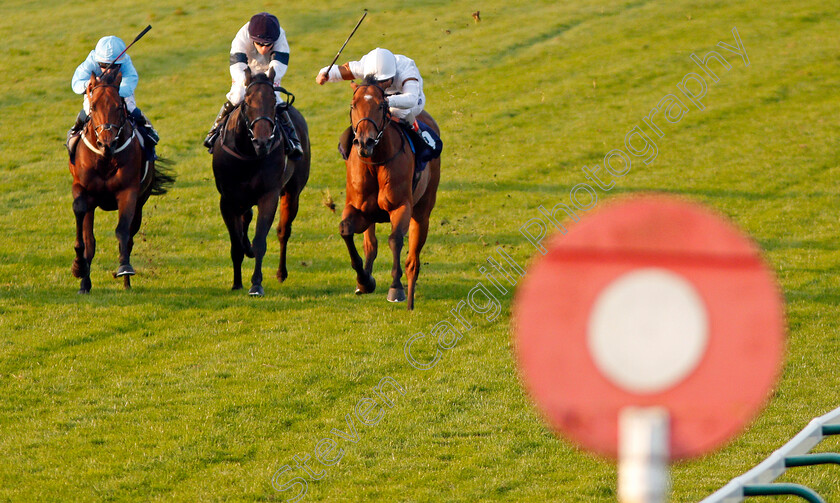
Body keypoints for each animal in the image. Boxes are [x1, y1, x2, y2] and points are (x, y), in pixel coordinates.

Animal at [69, 69, 174, 294]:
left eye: (118, 106)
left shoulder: (128, 192)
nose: (106, 143)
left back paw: (126, 282)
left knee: (131, 235)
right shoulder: (82, 189)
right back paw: (85, 282)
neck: (106, 158)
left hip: (141, 202)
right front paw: (79, 269)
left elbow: (122, 231)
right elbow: (83, 227)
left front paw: (124, 267)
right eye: (93, 106)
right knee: (91, 240)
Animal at [212, 67, 310, 296]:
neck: (248, 154)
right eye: (247, 102)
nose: (262, 141)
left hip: (292, 192)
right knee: (245, 218)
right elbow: (236, 243)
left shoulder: (269, 195)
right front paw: (236, 283)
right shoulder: (227, 200)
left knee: (283, 231)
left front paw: (256, 284)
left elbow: (260, 241)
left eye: (273, 103)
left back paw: (281, 273)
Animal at [338, 76, 442, 310]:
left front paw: (396, 288)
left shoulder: (401, 206)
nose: (365, 141)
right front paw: (364, 281)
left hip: (422, 211)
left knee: (413, 260)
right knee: (370, 244)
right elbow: (346, 230)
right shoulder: (359, 209)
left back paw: (410, 301)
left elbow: (395, 240)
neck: (375, 161)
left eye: (380, 106)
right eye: (353, 105)